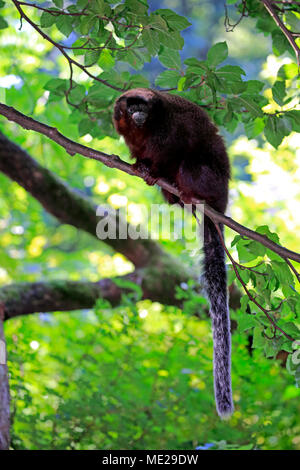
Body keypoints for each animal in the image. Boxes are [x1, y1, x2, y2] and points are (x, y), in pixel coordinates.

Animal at [113, 88, 233, 418]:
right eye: (131, 108)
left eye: (143, 108)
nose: (138, 114)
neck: (145, 127)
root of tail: (222, 202)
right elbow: (140, 153)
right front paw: (141, 166)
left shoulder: (168, 128)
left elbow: (174, 150)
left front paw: (153, 168)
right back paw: (172, 194)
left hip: (212, 178)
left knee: (190, 161)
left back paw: (193, 195)